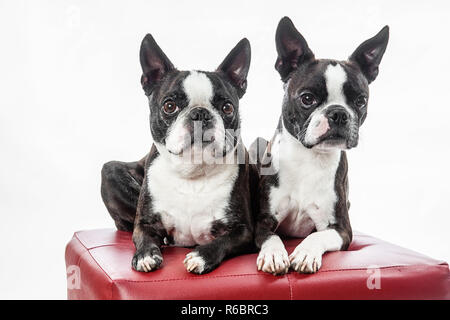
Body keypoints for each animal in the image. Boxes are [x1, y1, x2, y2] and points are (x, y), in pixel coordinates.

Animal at [101, 35, 256, 276]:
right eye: (169, 105)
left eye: (227, 108)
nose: (200, 113)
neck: (192, 173)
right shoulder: (144, 224)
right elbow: (143, 237)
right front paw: (146, 255)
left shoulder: (244, 232)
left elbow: (223, 241)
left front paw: (201, 256)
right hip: (110, 170)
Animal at [251, 16, 388, 274]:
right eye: (307, 98)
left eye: (360, 101)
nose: (338, 114)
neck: (309, 157)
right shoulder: (262, 222)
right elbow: (272, 237)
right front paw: (274, 255)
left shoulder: (341, 228)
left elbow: (317, 236)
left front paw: (305, 253)